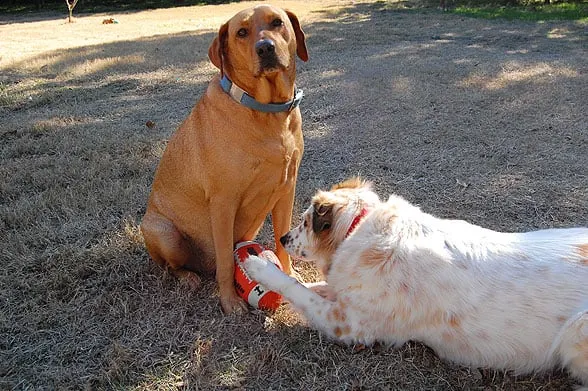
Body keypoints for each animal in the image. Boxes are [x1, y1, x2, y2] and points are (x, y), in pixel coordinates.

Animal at [141, 4, 308, 314]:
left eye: (277, 23)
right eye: (241, 32)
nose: (265, 48)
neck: (267, 114)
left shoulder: (286, 191)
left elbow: (282, 241)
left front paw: (289, 278)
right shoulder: (223, 202)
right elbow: (225, 261)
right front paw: (230, 302)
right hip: (165, 233)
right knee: (171, 267)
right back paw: (188, 277)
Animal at [245, 179, 588, 388]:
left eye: (305, 222)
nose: (283, 238)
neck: (358, 228)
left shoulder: (349, 326)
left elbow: (297, 289)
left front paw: (258, 266)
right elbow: (309, 287)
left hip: (577, 330)